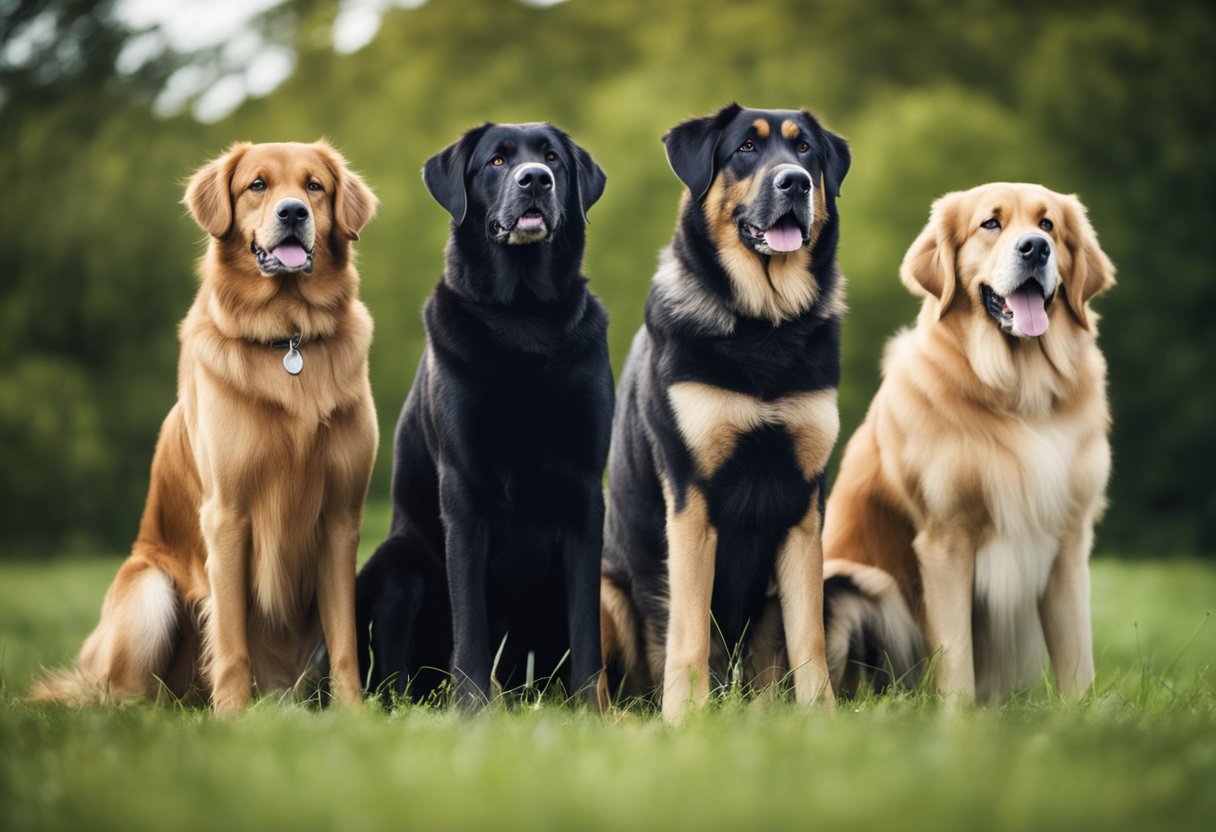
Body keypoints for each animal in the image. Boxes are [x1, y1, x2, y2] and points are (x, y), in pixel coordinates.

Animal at [355, 123, 612, 710]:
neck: (524, 316)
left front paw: (593, 709)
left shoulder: (586, 492)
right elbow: (469, 621)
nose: (534, 180)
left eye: (552, 159)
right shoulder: (464, 490)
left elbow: (586, 626)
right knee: (395, 675)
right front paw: (472, 711)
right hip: (397, 563)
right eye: (497, 160)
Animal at [600, 102, 851, 715]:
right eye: (746, 149)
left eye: (805, 149)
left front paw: (821, 717)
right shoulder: (693, 494)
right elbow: (688, 630)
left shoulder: (803, 499)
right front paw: (683, 720)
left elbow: (806, 634)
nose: (796, 182)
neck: (764, 323)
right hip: (603, 590)